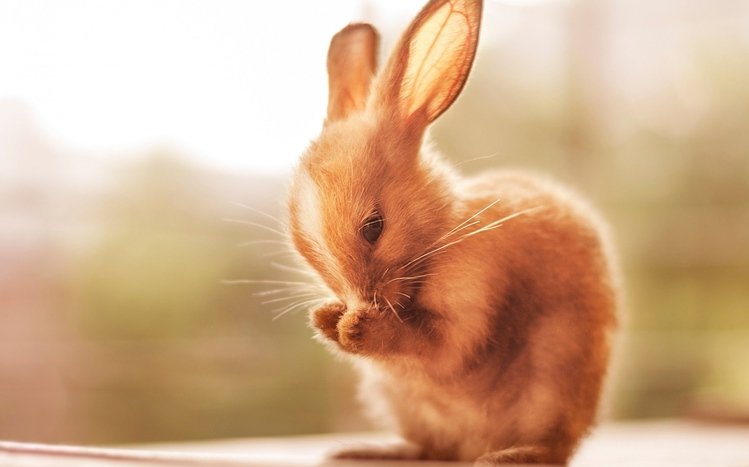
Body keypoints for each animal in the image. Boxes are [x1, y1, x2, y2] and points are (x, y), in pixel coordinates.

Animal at [286, 0, 618, 464]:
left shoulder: (470, 300)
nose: (361, 301)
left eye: (374, 227)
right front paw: (327, 318)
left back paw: (507, 456)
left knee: (552, 446)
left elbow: (439, 348)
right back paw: (364, 450)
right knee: (429, 446)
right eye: (303, 248)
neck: (442, 234)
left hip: (553, 377)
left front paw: (355, 328)